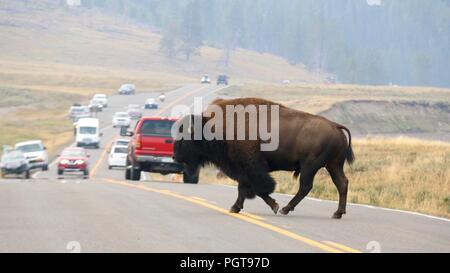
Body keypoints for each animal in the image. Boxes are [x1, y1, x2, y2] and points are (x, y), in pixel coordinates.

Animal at [174, 96, 354, 218]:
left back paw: (285, 209)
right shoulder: (243, 170)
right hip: (333, 165)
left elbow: (259, 188)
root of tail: (335, 126)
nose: (175, 156)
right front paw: (235, 207)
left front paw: (274, 206)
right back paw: (338, 213)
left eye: (185, 138)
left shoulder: (251, 167)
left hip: (310, 166)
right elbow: (244, 188)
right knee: (342, 183)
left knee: (306, 186)